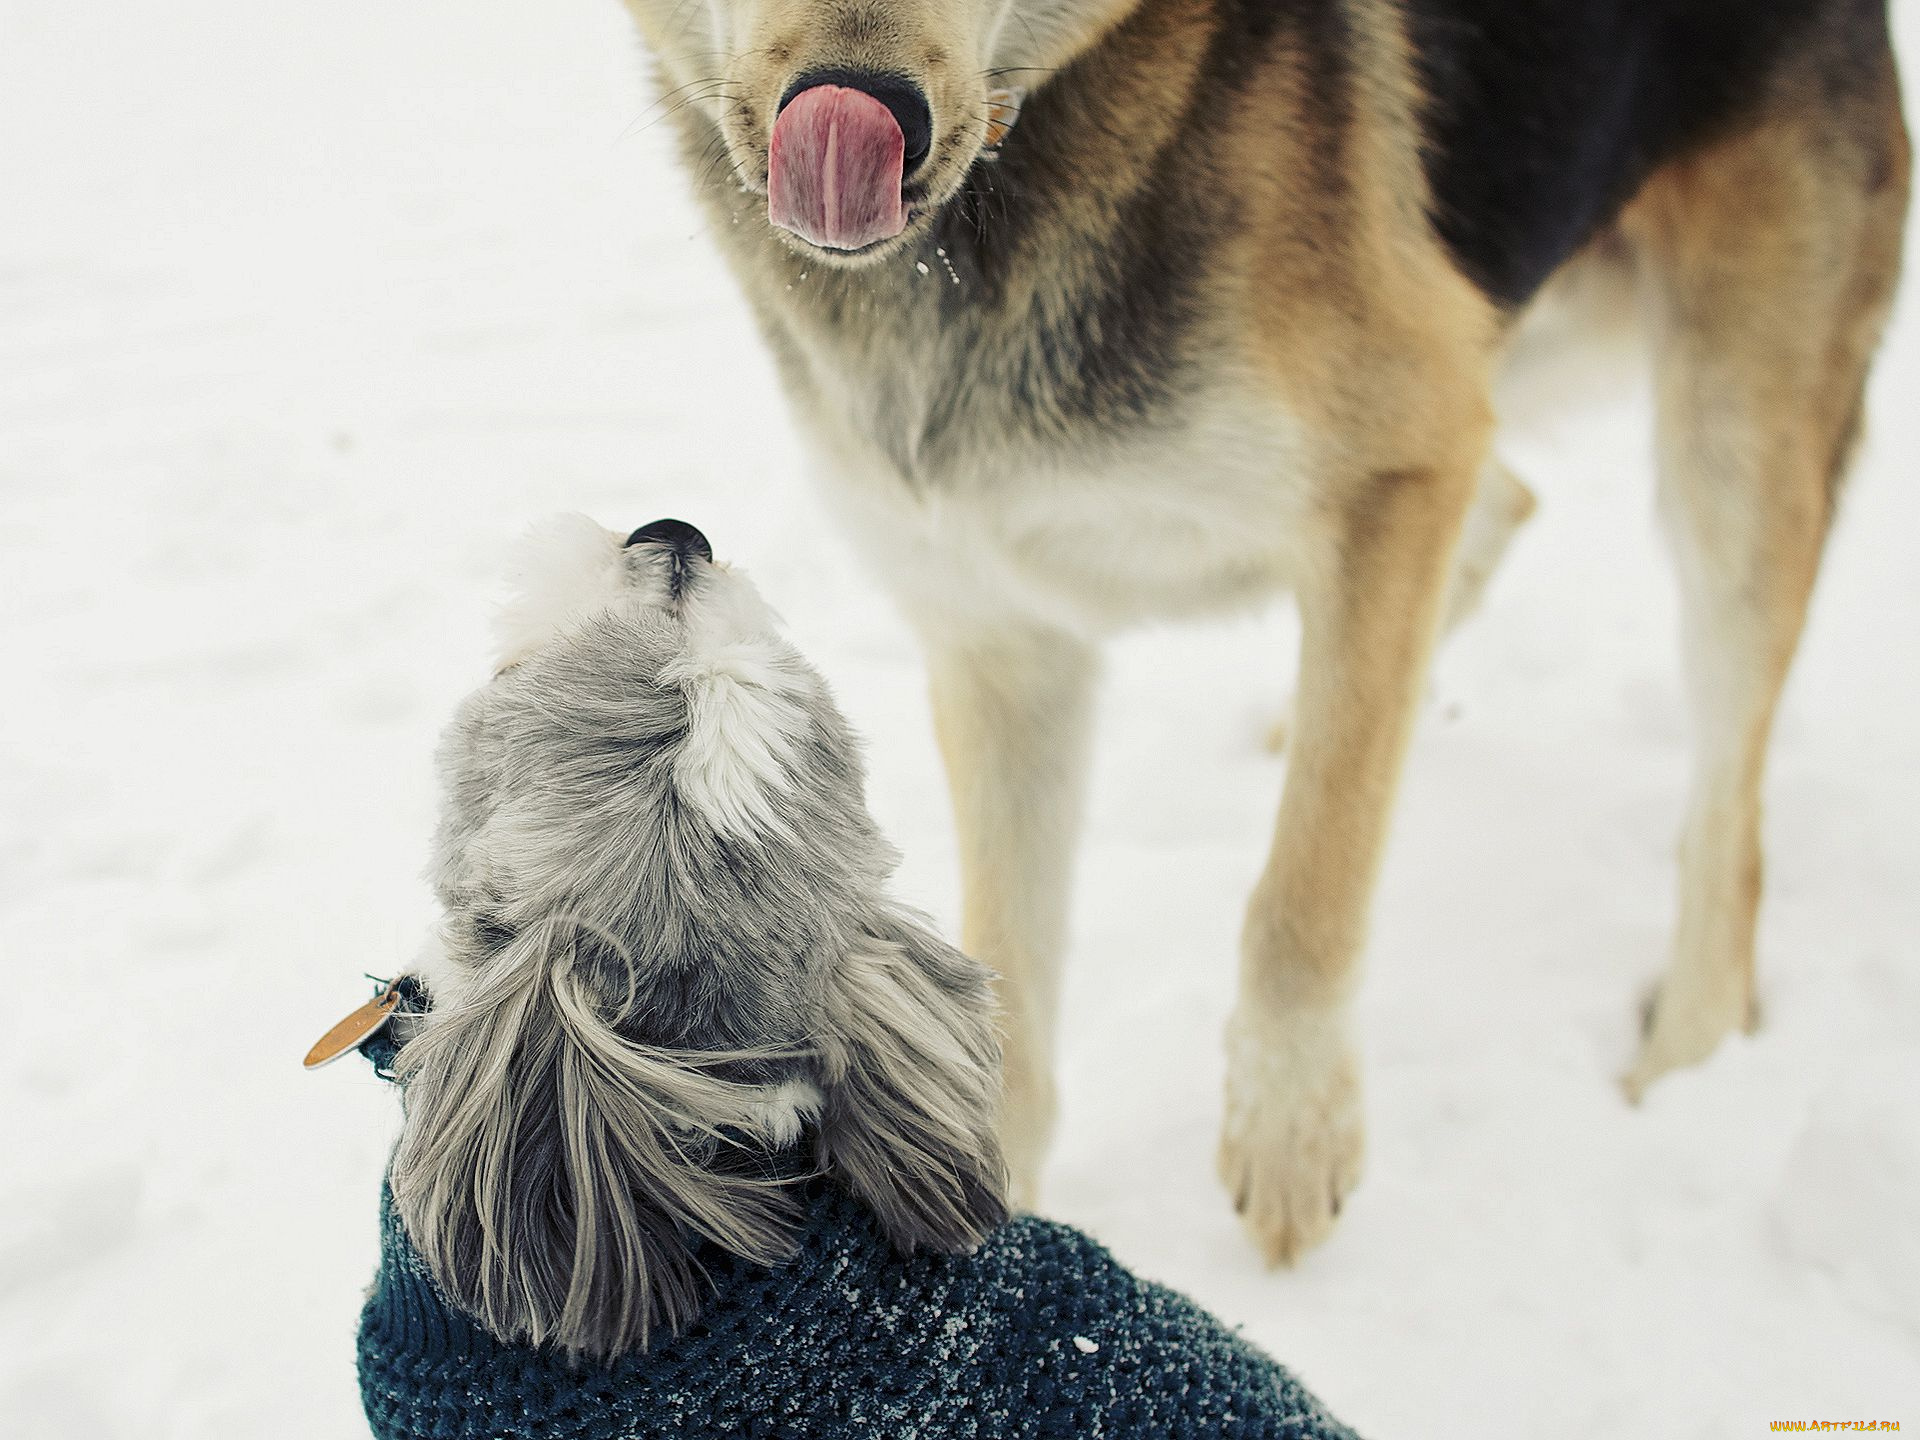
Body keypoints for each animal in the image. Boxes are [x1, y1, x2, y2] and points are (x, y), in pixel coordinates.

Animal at [614, 0, 1904, 1259]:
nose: (864, 108)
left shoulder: (1398, 461)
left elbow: (1310, 876)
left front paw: (1293, 1129)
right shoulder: (999, 627)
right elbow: (1009, 977)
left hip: (1729, 442)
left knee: (1725, 815)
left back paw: (1689, 1054)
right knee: (1503, 509)